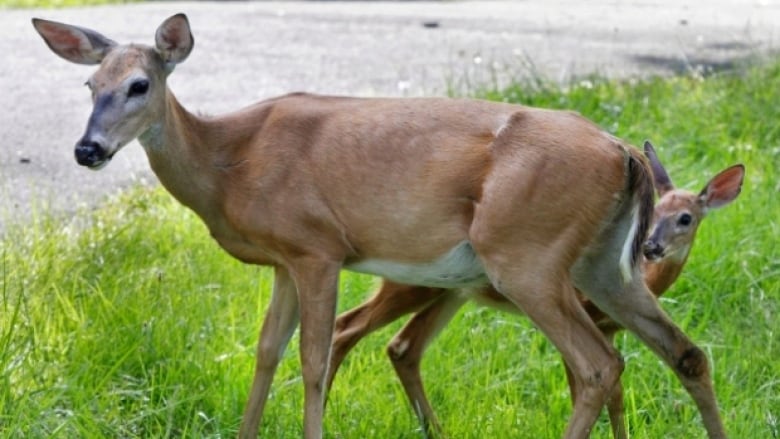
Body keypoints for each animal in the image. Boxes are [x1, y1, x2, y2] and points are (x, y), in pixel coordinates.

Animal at [326, 142, 748, 439]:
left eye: (686, 218)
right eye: (655, 213)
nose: (652, 247)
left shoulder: (611, 326)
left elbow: (617, 389)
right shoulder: (587, 313)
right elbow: (594, 386)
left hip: (450, 292)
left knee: (402, 346)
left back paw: (435, 429)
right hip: (412, 285)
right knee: (347, 326)